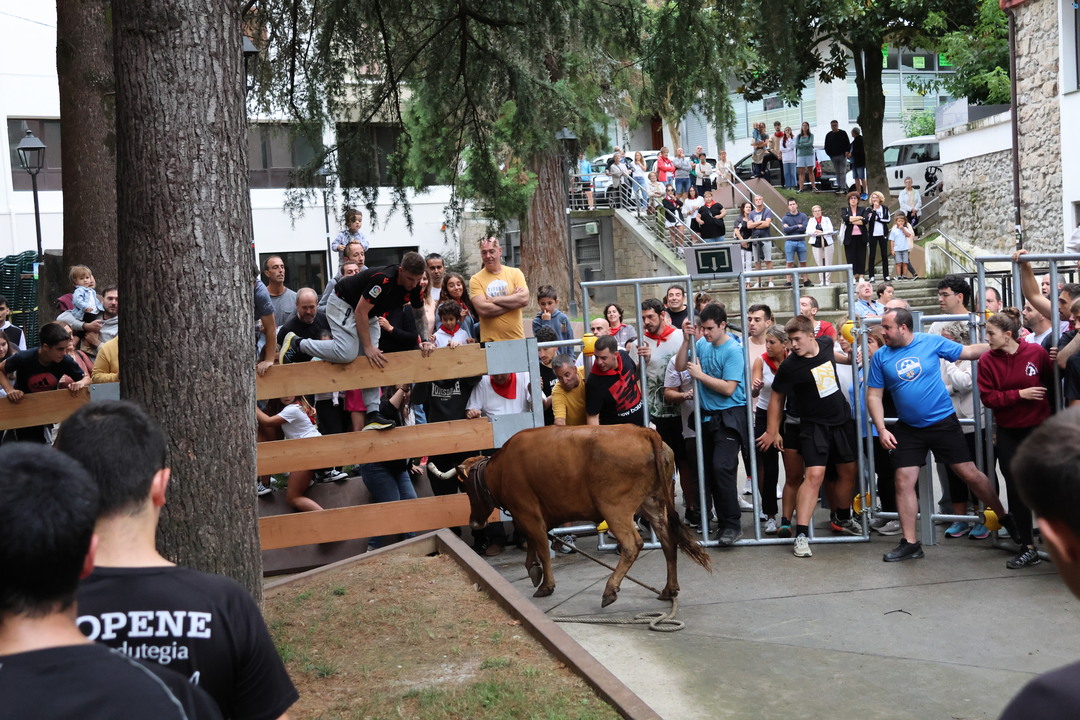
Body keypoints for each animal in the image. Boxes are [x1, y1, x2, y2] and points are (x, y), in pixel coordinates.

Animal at [447, 424, 711, 607]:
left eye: (467, 487)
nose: (474, 522)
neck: (501, 469)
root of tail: (643, 432)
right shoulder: (529, 516)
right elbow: (533, 544)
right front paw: (533, 570)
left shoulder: (528, 513)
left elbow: (542, 548)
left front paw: (546, 584)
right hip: (653, 504)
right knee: (668, 542)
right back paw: (669, 589)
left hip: (615, 508)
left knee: (632, 545)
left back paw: (610, 589)